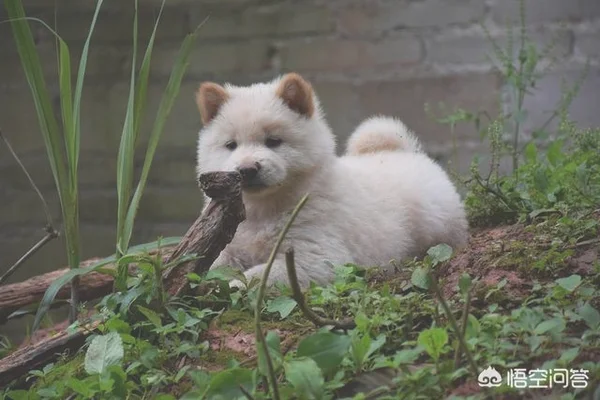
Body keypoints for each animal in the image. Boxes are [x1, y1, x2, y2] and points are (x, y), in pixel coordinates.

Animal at [196, 72, 468, 288]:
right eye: (231, 145)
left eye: (273, 141)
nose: (246, 169)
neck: (264, 209)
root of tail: (404, 151)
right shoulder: (230, 241)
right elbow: (211, 261)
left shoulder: (317, 255)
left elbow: (263, 275)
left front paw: (233, 286)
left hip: (436, 221)